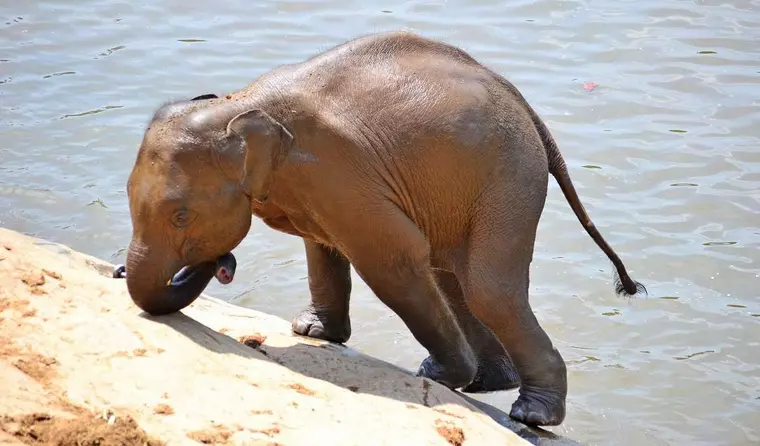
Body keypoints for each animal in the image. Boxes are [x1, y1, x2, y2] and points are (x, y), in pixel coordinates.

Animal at [116, 29, 644, 426]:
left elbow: (390, 261)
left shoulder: (341, 174)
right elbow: (322, 246)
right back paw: (486, 383)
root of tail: (527, 109)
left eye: (181, 215)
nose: (222, 265)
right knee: (454, 278)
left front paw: (446, 376)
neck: (237, 104)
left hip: (510, 177)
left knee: (487, 290)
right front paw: (313, 331)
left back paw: (526, 411)